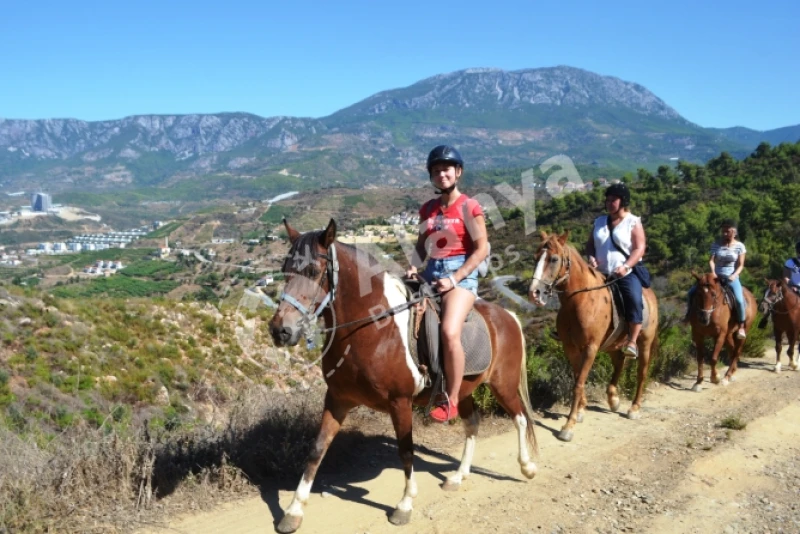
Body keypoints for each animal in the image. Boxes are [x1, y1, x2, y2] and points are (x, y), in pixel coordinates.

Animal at [268, 220, 536, 532]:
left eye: (313, 271)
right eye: (285, 268)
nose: (280, 330)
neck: (370, 328)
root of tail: (506, 315)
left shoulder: (400, 401)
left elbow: (406, 450)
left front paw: (405, 504)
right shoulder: (337, 399)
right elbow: (316, 450)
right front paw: (293, 511)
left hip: (502, 385)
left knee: (519, 418)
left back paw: (527, 467)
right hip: (463, 391)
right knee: (472, 425)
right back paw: (458, 476)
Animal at [528, 232, 660, 446]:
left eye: (554, 259)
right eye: (535, 257)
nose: (534, 293)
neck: (579, 301)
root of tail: (649, 294)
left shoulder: (590, 348)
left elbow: (578, 383)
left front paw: (568, 426)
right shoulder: (570, 348)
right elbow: (577, 379)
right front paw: (581, 410)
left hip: (645, 343)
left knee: (642, 373)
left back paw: (634, 408)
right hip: (613, 345)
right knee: (619, 364)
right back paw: (613, 399)